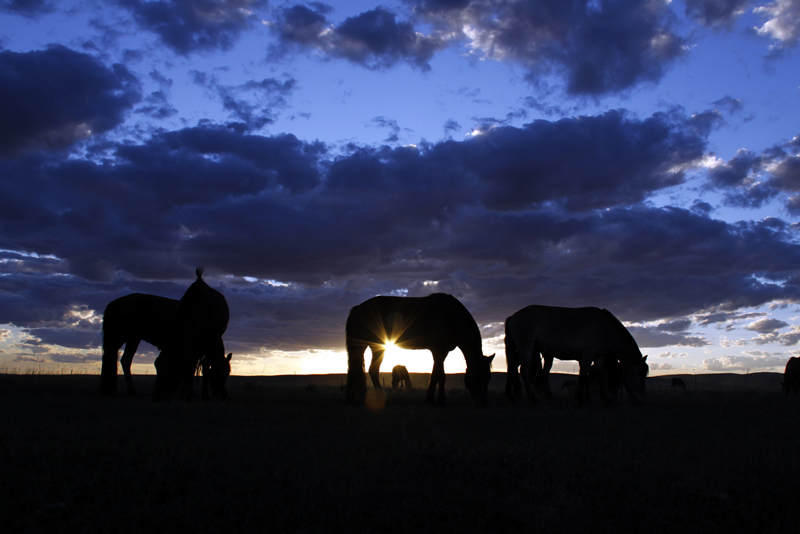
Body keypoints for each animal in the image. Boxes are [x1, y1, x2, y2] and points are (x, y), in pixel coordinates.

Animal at [152, 270, 230, 404]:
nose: (157, 397)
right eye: (157, 365)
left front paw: (196, 395)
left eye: (227, 373)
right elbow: (192, 366)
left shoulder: (205, 345)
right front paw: (185, 394)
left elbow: (198, 365)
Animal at [346, 296, 494, 408]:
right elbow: (440, 376)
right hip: (373, 346)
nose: (483, 404)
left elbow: (435, 374)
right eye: (480, 377)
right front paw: (440, 401)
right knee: (371, 370)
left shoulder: (441, 352)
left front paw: (431, 399)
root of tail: (358, 308)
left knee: (355, 369)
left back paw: (353, 398)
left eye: (488, 378)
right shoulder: (439, 351)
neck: (452, 317)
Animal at [506, 306, 648, 406]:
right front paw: (581, 399)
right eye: (641, 379)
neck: (605, 328)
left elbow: (602, 377)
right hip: (526, 348)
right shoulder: (587, 355)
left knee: (513, 367)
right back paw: (533, 398)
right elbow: (583, 376)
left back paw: (513, 396)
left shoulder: (598, 356)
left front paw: (607, 399)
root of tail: (513, 317)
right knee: (523, 370)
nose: (641, 401)